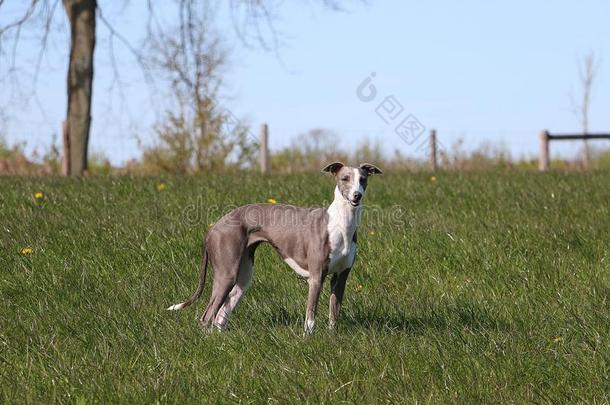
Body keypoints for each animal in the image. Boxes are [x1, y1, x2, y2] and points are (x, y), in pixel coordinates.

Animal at [167, 161, 380, 332]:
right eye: (345, 178)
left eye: (363, 179)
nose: (357, 196)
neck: (340, 224)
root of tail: (214, 227)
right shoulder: (316, 277)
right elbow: (310, 317)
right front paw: (308, 340)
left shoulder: (341, 277)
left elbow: (334, 315)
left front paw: (332, 339)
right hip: (226, 273)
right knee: (207, 316)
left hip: (243, 277)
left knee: (221, 314)